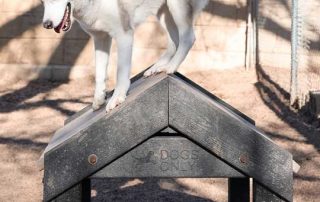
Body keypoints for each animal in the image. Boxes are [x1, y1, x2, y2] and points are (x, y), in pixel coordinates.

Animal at [41, 0, 208, 112]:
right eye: (43, 2)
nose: (46, 25)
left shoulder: (124, 35)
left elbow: (120, 73)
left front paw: (117, 98)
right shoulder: (100, 38)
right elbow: (99, 74)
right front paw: (99, 99)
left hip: (176, 8)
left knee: (188, 37)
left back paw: (171, 67)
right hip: (163, 12)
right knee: (174, 41)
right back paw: (157, 67)